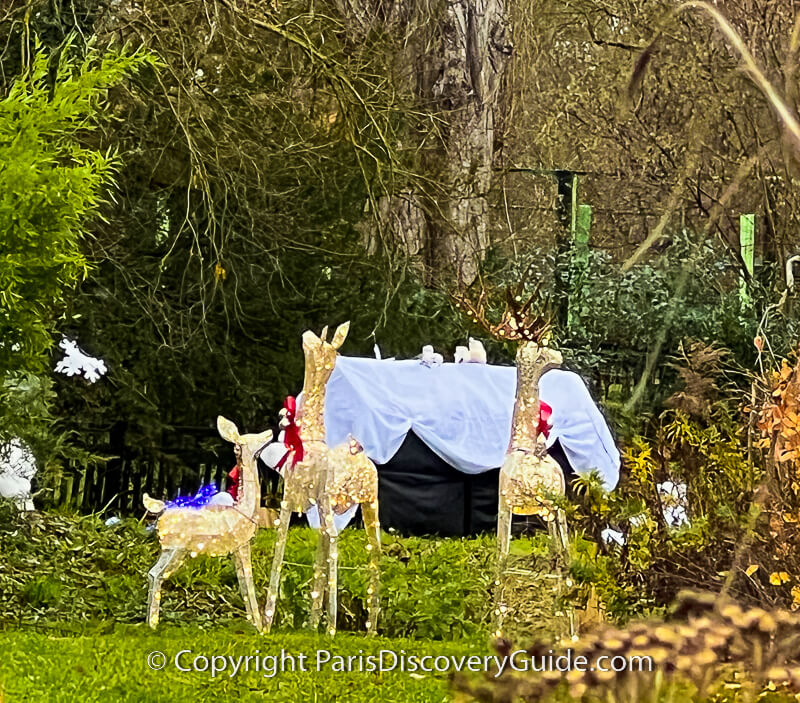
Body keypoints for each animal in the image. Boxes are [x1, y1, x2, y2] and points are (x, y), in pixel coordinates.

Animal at [142, 418, 270, 632]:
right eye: (252, 437)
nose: (270, 432)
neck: (244, 508)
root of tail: (162, 508)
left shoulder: (235, 549)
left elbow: (242, 583)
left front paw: (253, 624)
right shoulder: (243, 545)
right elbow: (249, 582)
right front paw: (261, 629)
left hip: (168, 550)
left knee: (152, 573)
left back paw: (148, 623)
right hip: (177, 549)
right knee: (158, 575)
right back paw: (153, 624)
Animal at [262, 324, 382, 640]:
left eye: (317, 343)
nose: (304, 333)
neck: (310, 436)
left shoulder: (289, 498)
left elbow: (279, 549)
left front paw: (266, 623)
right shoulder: (315, 504)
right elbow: (320, 553)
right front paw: (311, 622)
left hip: (340, 503)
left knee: (339, 539)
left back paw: (333, 627)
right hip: (369, 504)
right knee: (374, 551)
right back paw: (370, 630)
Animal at [456, 284, 576, 640]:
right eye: (540, 349)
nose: (560, 357)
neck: (519, 443)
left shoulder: (504, 502)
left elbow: (502, 559)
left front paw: (495, 629)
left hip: (542, 508)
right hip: (558, 509)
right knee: (565, 562)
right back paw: (569, 632)